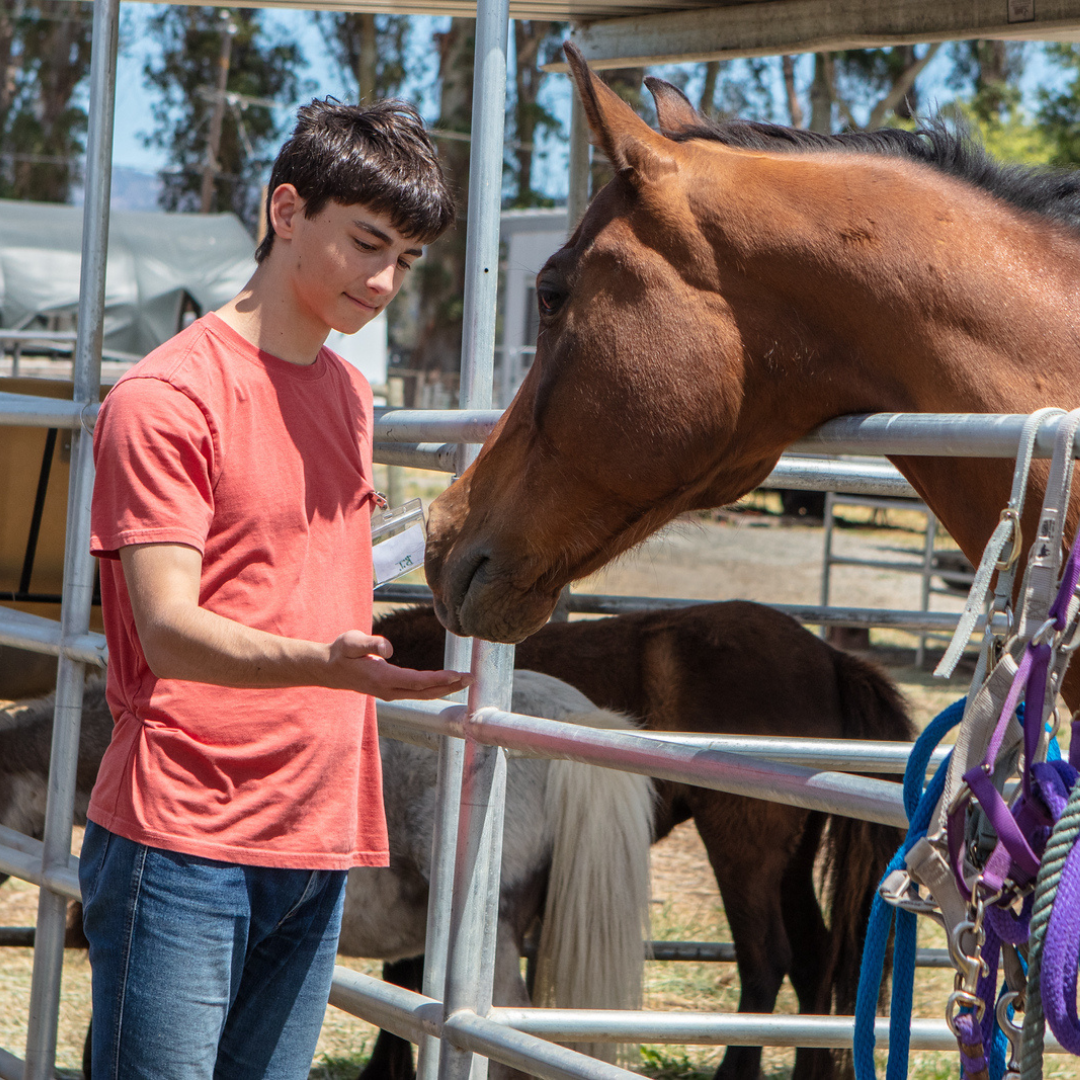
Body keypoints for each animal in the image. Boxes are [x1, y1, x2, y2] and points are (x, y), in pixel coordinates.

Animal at [372, 600, 912, 1080]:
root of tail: (831, 660)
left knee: (766, 960)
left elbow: (402, 972)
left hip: (742, 850)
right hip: (791, 862)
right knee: (813, 960)